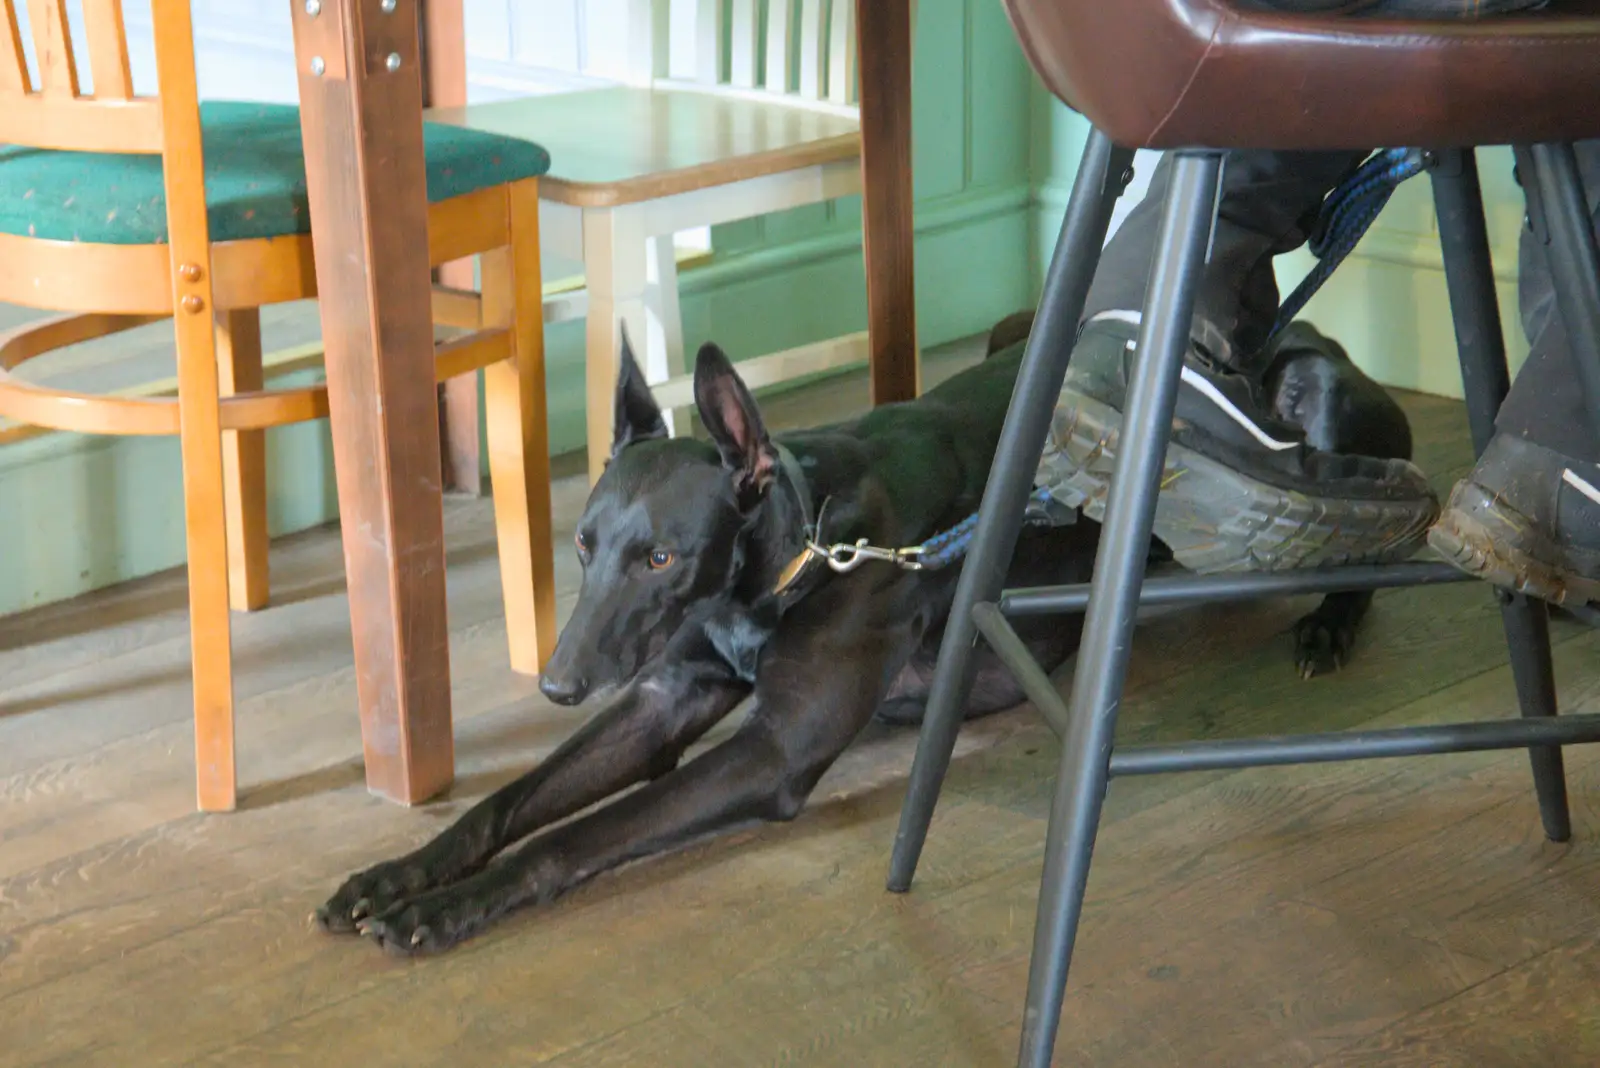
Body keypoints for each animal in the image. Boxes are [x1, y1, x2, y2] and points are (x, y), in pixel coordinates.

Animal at [318, 313, 1420, 952]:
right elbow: (508, 804)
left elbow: (577, 833)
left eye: (663, 558)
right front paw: (397, 876)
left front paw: (446, 909)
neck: (798, 551)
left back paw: (1329, 620)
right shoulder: (665, 695)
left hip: (1323, 416)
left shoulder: (768, 752)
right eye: (583, 544)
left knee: (1382, 533)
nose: (556, 685)